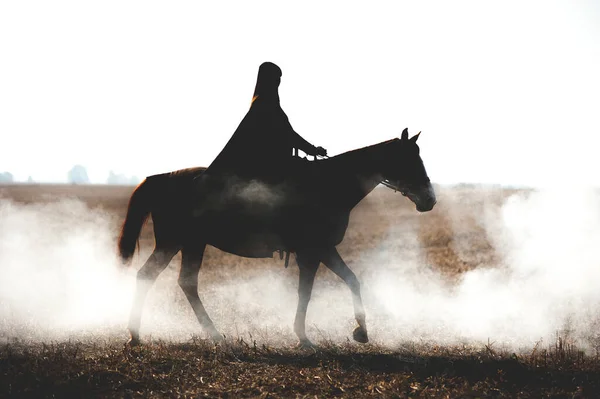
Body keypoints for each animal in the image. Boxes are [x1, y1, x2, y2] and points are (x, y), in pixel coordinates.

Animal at [118, 128, 436, 346]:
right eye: (409, 159)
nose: (430, 200)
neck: (331, 184)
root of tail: (162, 177)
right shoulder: (312, 251)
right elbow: (306, 292)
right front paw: (303, 337)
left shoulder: (324, 249)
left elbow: (352, 280)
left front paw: (361, 332)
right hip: (175, 243)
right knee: (157, 277)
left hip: (190, 244)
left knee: (177, 281)